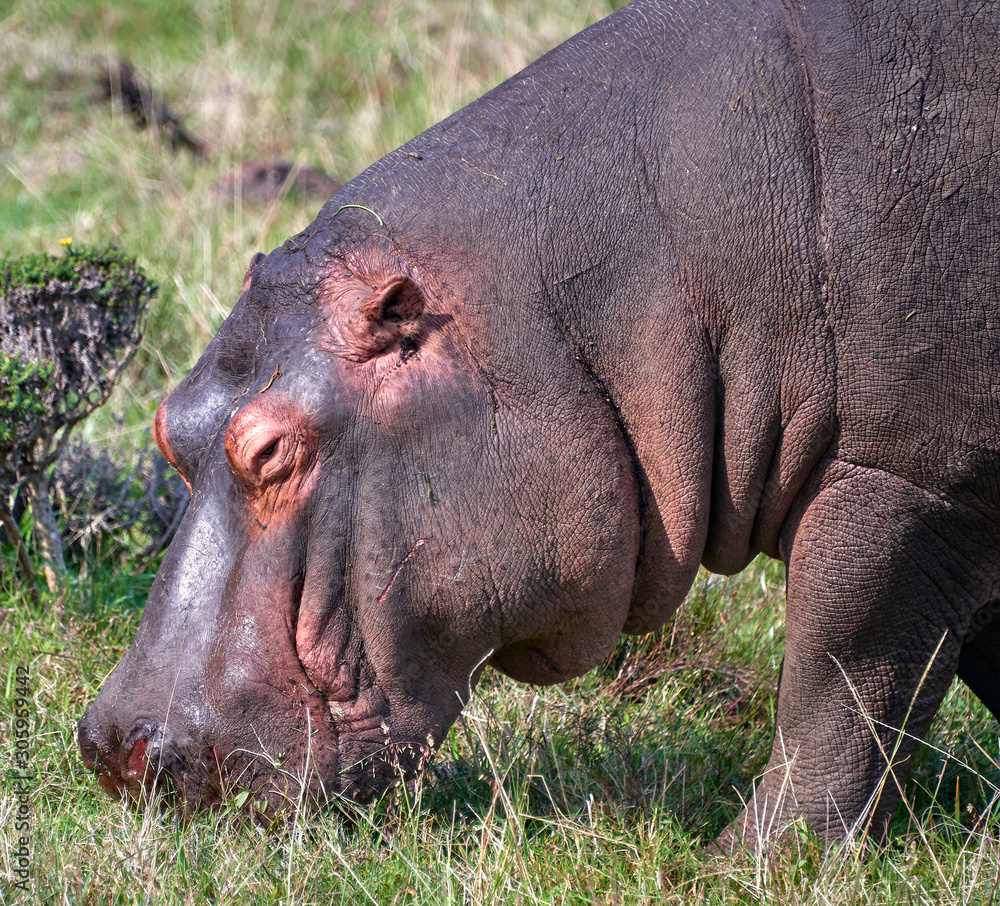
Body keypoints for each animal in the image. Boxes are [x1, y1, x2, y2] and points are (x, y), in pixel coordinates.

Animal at [80, 0, 1000, 848]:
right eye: (167, 424)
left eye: (271, 450)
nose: (112, 746)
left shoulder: (903, 482)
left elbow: (839, 679)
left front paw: (747, 864)